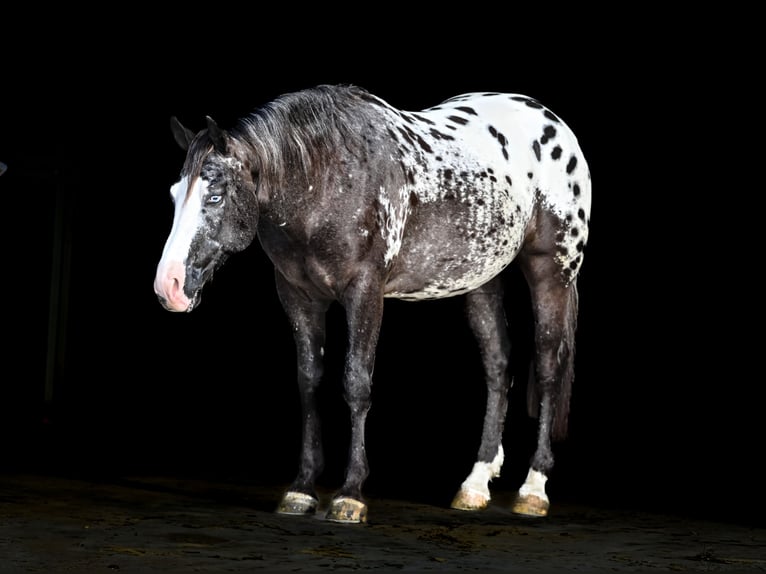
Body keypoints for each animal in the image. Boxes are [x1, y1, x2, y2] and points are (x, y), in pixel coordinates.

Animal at [153, 84, 591, 523]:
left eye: (214, 195)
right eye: (174, 195)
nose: (168, 286)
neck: (324, 180)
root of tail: (554, 124)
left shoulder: (364, 291)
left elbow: (356, 383)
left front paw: (350, 494)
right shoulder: (298, 297)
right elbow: (309, 382)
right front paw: (302, 489)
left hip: (552, 272)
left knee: (549, 370)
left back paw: (533, 489)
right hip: (483, 280)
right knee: (498, 368)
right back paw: (474, 484)